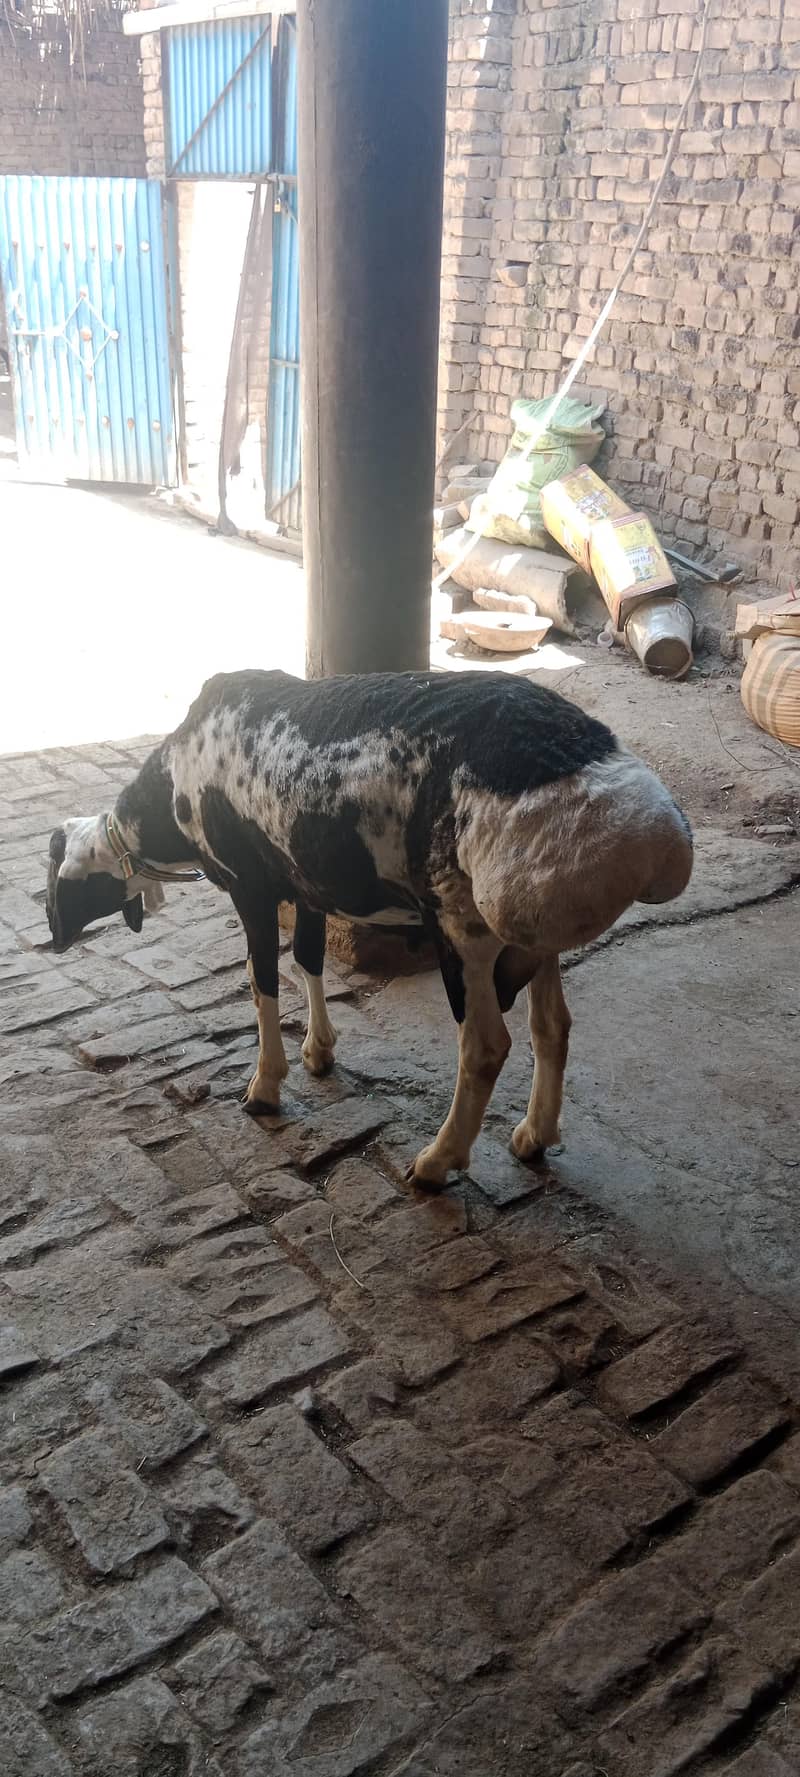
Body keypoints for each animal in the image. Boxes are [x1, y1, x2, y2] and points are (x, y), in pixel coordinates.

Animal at [46, 668, 692, 1186]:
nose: (54, 941)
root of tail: (649, 836)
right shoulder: (306, 884)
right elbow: (308, 959)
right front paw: (319, 1051)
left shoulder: (251, 887)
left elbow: (261, 981)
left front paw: (265, 1086)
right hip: (534, 933)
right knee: (551, 1027)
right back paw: (533, 1136)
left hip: (462, 922)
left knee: (486, 1047)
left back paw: (436, 1163)